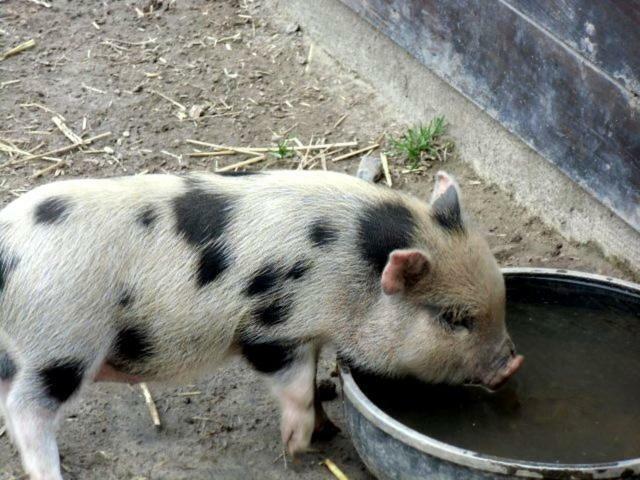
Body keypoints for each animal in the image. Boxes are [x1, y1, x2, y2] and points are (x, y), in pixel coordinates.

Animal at [0, 171, 520, 478]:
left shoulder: (309, 331)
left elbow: (312, 380)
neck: (349, 267)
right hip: (61, 343)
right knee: (26, 409)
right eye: (454, 318)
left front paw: (327, 430)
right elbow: (293, 385)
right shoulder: (271, 328)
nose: (512, 365)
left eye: (500, 299)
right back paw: (51, 472)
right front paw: (297, 449)